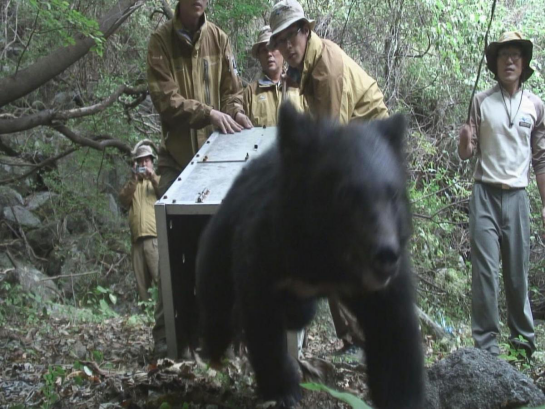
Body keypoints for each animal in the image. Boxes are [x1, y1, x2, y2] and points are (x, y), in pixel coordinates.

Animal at [196, 103, 424, 406]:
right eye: (345, 195)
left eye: (394, 195)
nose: (385, 256)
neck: (325, 260)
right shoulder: (264, 248)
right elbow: (261, 320)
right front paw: (283, 390)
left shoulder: (383, 286)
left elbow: (393, 333)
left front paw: (403, 397)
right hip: (220, 239)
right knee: (216, 295)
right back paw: (213, 351)